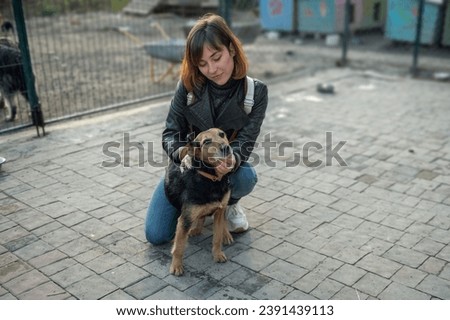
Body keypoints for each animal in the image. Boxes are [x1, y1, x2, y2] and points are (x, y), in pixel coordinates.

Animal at [165, 127, 236, 276]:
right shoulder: (185, 219)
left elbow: (217, 237)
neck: (211, 180)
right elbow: (179, 247)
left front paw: (217, 254)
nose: (226, 148)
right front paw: (176, 266)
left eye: (222, 134)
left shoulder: (219, 211)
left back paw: (225, 233)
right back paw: (196, 229)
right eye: (206, 141)